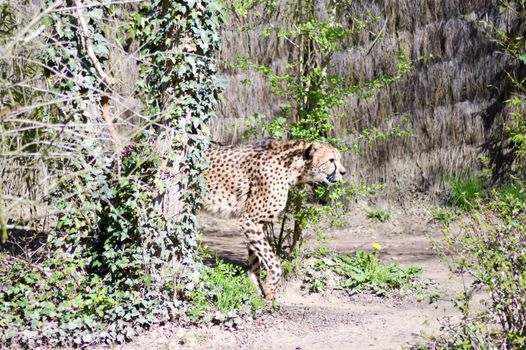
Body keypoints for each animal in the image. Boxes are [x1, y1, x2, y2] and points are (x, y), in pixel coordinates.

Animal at [204, 138, 348, 300]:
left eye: (338, 159)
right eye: (331, 160)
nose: (343, 172)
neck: (294, 167)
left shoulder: (257, 223)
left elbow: (255, 258)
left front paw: (255, 288)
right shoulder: (249, 220)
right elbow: (273, 261)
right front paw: (270, 289)